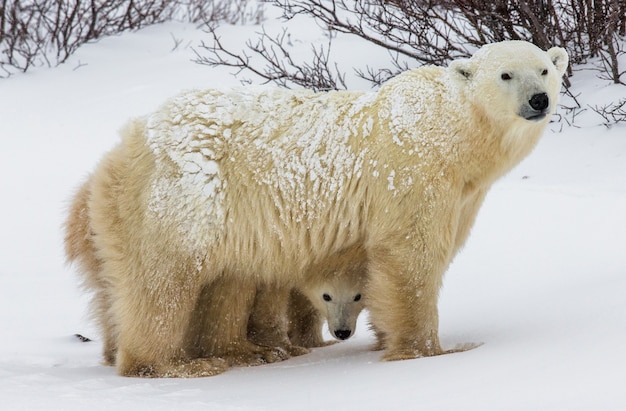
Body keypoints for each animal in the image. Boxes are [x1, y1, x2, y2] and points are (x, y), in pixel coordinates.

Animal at [66, 40, 568, 378]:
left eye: (544, 70)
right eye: (506, 75)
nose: (538, 100)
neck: (451, 134)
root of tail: (122, 149)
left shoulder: (462, 193)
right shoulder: (411, 171)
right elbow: (410, 256)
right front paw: (428, 351)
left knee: (223, 280)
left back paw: (240, 352)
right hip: (185, 200)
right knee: (163, 282)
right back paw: (176, 364)